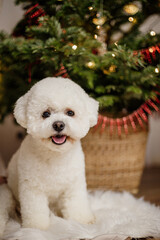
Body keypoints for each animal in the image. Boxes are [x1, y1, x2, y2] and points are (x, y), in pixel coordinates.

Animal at [0, 77, 99, 236]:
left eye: (70, 112)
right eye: (45, 114)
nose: (58, 125)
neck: (55, 155)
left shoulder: (74, 185)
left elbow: (76, 205)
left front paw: (82, 221)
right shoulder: (32, 189)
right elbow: (36, 212)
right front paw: (36, 229)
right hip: (6, 193)